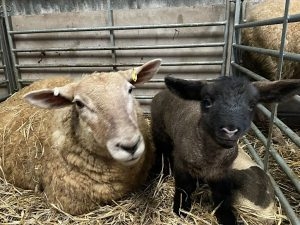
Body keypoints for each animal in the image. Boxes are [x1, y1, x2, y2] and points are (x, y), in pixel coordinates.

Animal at [151, 76, 300, 225]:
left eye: (252, 105)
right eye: (207, 102)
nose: (230, 131)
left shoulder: (222, 175)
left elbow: (221, 198)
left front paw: (227, 218)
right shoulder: (182, 165)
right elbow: (183, 188)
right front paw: (180, 210)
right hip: (160, 131)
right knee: (163, 151)